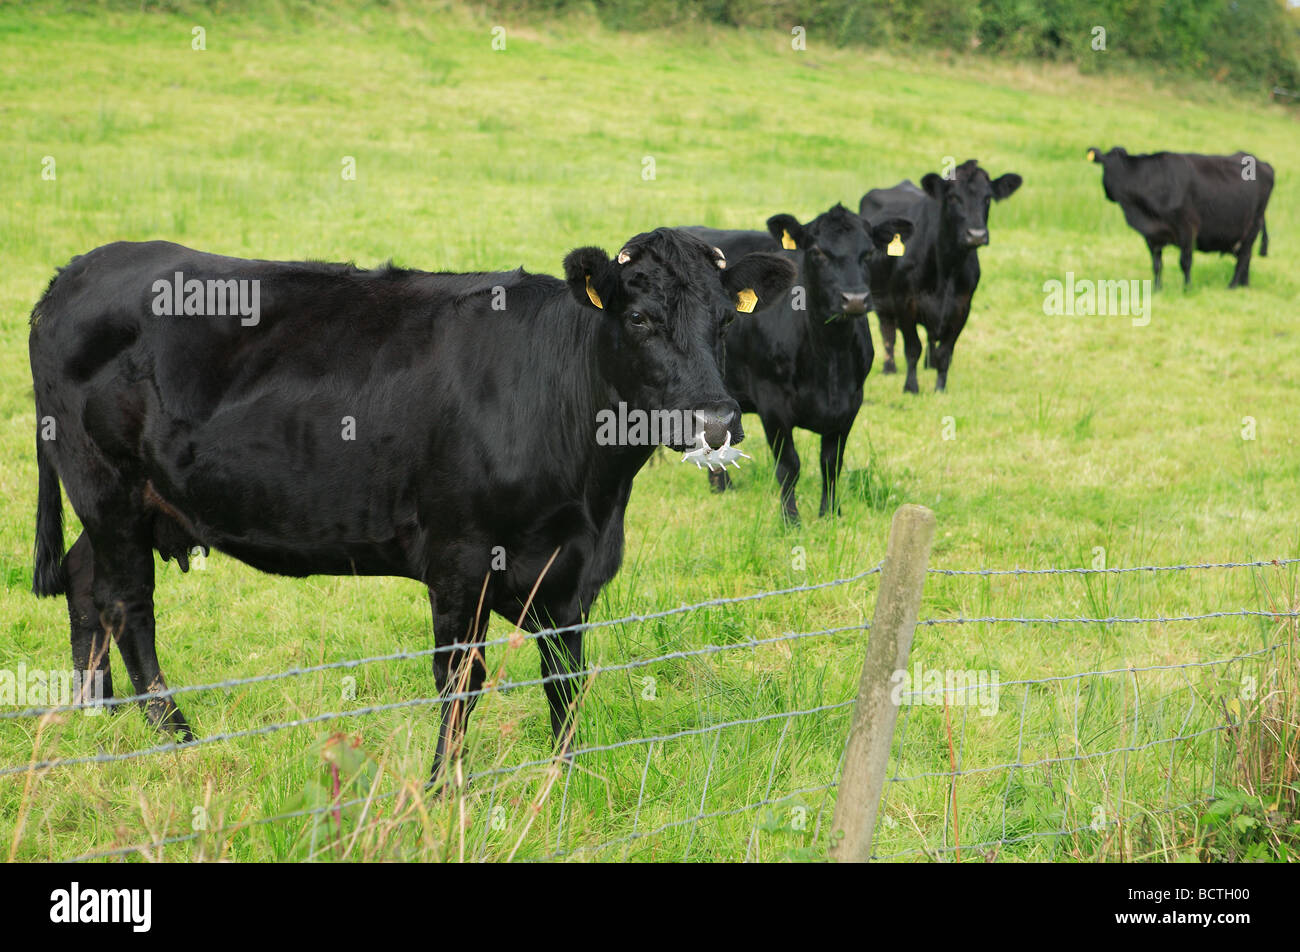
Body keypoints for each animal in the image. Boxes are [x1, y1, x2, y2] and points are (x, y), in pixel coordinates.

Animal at [30, 232, 795, 780]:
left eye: (724, 321)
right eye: (638, 317)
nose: (717, 421)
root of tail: (81, 267)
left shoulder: (574, 571)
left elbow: (566, 677)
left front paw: (565, 777)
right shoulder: (461, 559)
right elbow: (459, 680)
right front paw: (442, 788)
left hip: (133, 504)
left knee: (84, 581)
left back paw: (97, 720)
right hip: (105, 484)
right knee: (128, 603)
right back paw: (177, 739)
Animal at [686, 204, 909, 525]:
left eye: (868, 252)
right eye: (817, 252)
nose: (855, 299)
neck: (829, 359)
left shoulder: (850, 403)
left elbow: (831, 463)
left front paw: (831, 515)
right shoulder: (772, 404)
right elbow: (789, 465)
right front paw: (791, 519)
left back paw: (721, 485)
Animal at [863, 159, 1024, 390]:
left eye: (987, 198)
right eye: (953, 197)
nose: (976, 235)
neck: (947, 269)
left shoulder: (962, 307)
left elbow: (945, 352)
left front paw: (940, 388)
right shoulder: (905, 302)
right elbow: (912, 348)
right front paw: (911, 387)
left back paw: (929, 365)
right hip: (879, 297)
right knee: (888, 332)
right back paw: (889, 367)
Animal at [1081, 145, 1274, 290]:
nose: (1108, 195)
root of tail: (1262, 163)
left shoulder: (1188, 227)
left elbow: (1185, 261)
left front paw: (1187, 288)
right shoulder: (1151, 235)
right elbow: (1157, 264)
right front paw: (1157, 289)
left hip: (1253, 225)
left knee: (1244, 256)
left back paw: (1232, 286)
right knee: (1245, 257)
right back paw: (1243, 286)